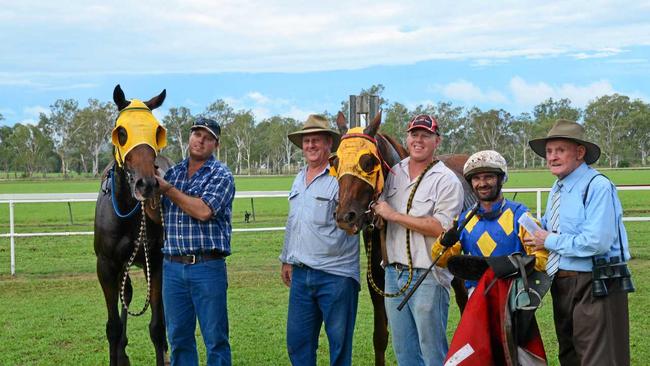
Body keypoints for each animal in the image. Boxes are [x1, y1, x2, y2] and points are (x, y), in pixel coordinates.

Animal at [93, 85, 171, 366]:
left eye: (157, 132)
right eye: (122, 133)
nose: (147, 184)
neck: (127, 214)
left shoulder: (156, 261)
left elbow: (157, 327)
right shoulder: (106, 265)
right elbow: (113, 328)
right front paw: (118, 354)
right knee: (125, 295)